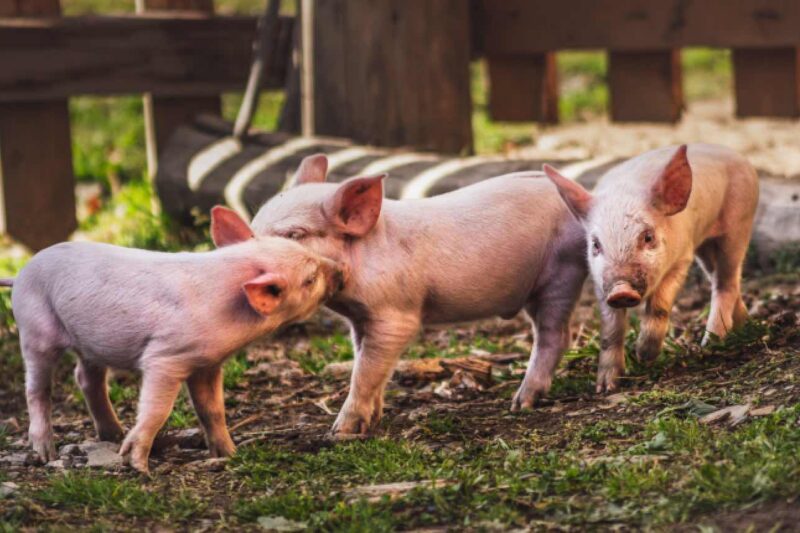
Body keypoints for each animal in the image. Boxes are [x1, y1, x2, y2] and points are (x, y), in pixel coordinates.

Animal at [9, 206, 343, 473]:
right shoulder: (165, 357)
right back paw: (46, 453)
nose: (341, 271)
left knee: (86, 378)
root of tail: (20, 273)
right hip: (35, 327)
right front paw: (139, 466)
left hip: (88, 343)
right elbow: (157, 409)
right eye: (310, 279)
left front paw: (230, 454)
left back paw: (112, 434)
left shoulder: (207, 364)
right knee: (37, 389)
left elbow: (213, 410)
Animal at [250, 154, 588, 435]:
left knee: (555, 335)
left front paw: (340, 433)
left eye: (295, 234)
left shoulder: (395, 313)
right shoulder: (361, 319)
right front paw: (373, 421)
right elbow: (369, 364)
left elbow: (365, 370)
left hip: (562, 272)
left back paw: (521, 403)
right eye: (254, 228)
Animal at [543, 144, 759, 392]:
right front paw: (606, 387)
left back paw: (711, 343)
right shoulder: (600, 282)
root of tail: (737, 156)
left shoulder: (682, 257)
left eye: (647, 237)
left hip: (738, 225)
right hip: (706, 247)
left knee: (727, 282)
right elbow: (611, 327)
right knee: (719, 279)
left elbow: (659, 304)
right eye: (596, 244)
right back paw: (744, 324)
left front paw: (644, 356)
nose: (621, 290)